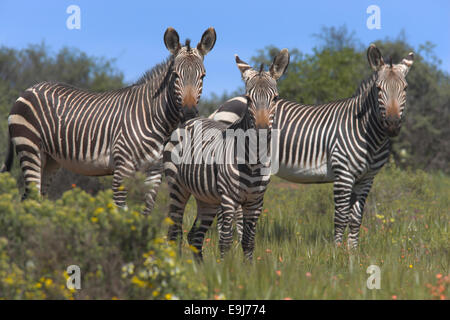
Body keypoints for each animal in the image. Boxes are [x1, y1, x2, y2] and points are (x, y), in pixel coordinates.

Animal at [0, 27, 217, 214]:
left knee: (32, 198)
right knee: (32, 196)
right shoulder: (122, 166)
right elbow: (121, 211)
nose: (189, 113)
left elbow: (146, 212)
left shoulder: (154, 171)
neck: (154, 118)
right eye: (175, 75)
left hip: (50, 159)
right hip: (30, 147)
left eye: (203, 77)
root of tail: (28, 90)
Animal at [163, 50, 290, 260]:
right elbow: (226, 242)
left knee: (194, 236)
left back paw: (200, 267)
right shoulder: (229, 200)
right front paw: (226, 268)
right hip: (176, 187)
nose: (262, 133)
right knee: (175, 233)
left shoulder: (256, 202)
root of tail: (190, 120)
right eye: (248, 99)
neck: (254, 161)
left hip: (207, 199)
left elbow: (248, 242)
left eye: (275, 98)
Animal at [211, 45, 414, 249]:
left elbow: (356, 219)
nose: (392, 124)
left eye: (405, 88)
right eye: (379, 88)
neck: (364, 129)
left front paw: (353, 252)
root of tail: (221, 106)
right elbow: (341, 217)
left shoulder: (366, 178)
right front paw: (337, 252)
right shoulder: (344, 173)